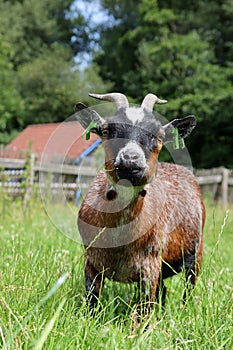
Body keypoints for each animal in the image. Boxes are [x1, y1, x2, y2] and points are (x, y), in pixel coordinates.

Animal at [75, 91, 205, 308]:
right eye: (106, 130)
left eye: (159, 136)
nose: (130, 160)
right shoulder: (91, 262)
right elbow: (92, 300)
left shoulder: (150, 265)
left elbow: (145, 306)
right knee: (164, 291)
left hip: (196, 253)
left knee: (189, 286)